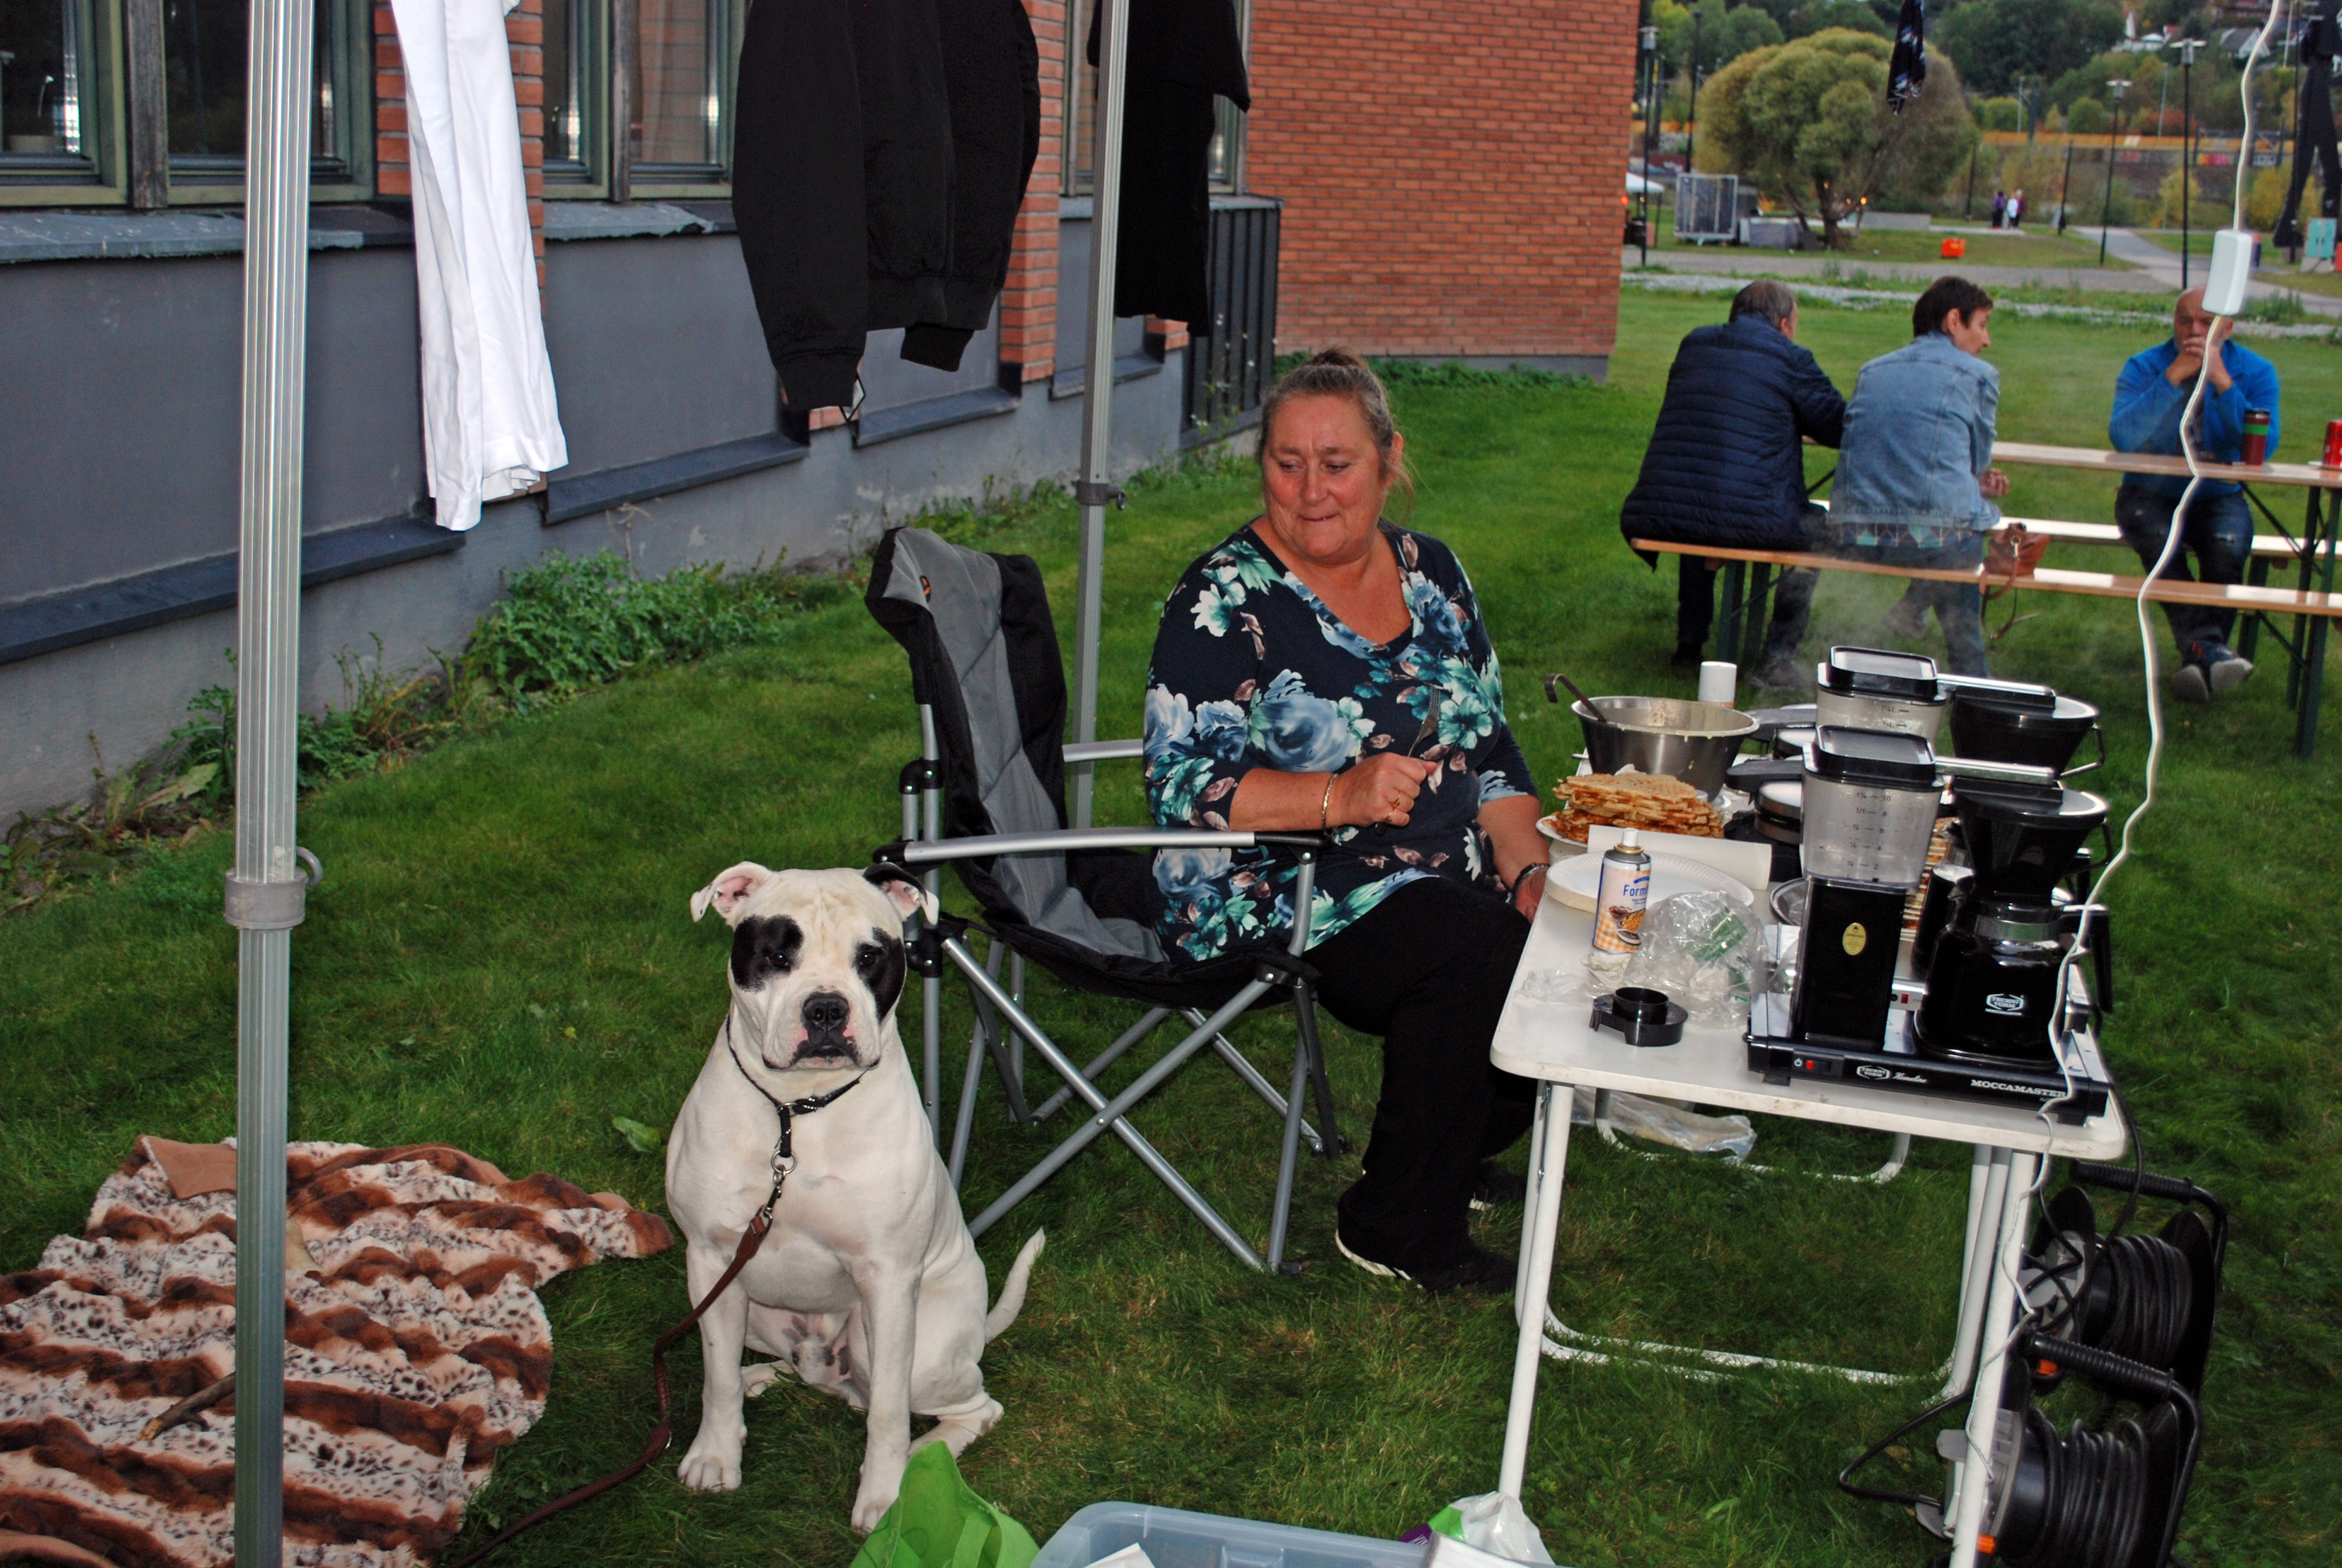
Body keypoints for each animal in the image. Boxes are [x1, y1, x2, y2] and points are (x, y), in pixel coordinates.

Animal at [667, 861, 1043, 1532]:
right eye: (777, 954)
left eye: (870, 956)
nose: (825, 1008)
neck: (799, 1113)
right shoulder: (710, 1259)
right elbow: (714, 1374)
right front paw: (715, 1453)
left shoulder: (888, 1281)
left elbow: (889, 1411)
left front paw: (886, 1497)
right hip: (752, 1304)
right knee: (789, 1368)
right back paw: (761, 1376)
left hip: (908, 1346)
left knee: (973, 1407)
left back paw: (922, 1459)